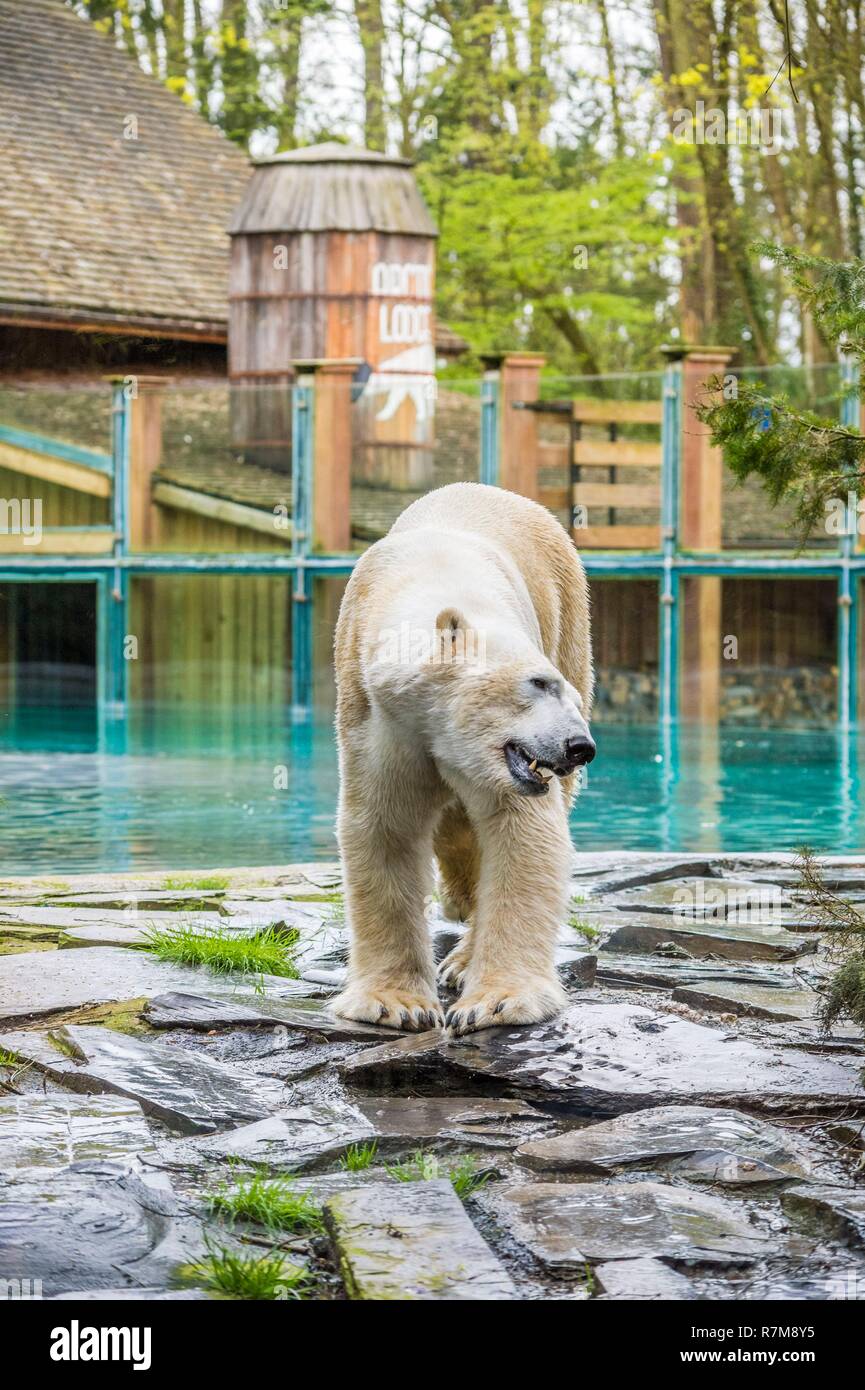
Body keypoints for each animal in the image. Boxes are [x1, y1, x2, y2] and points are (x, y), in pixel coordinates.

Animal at [332, 478, 595, 1034]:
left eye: (559, 689)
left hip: (569, 616)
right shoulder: (378, 719)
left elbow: (521, 835)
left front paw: (497, 1001)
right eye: (537, 684)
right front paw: (395, 1003)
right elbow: (384, 826)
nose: (580, 747)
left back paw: (460, 957)